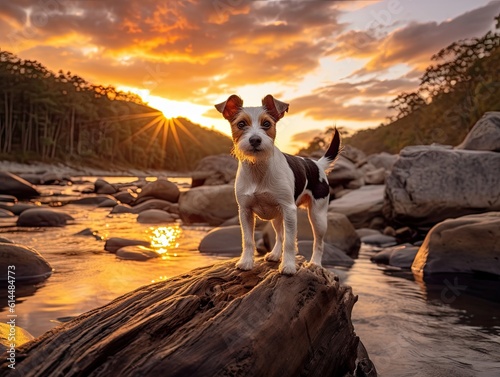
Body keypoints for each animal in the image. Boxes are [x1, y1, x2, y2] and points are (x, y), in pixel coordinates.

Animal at [215, 94, 340, 274]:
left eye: (267, 124)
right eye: (241, 124)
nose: (255, 140)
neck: (258, 168)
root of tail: (317, 164)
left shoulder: (289, 210)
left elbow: (290, 242)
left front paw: (288, 266)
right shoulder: (245, 211)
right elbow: (248, 240)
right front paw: (246, 262)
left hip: (318, 216)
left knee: (318, 242)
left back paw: (315, 263)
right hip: (277, 216)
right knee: (280, 235)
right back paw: (274, 254)